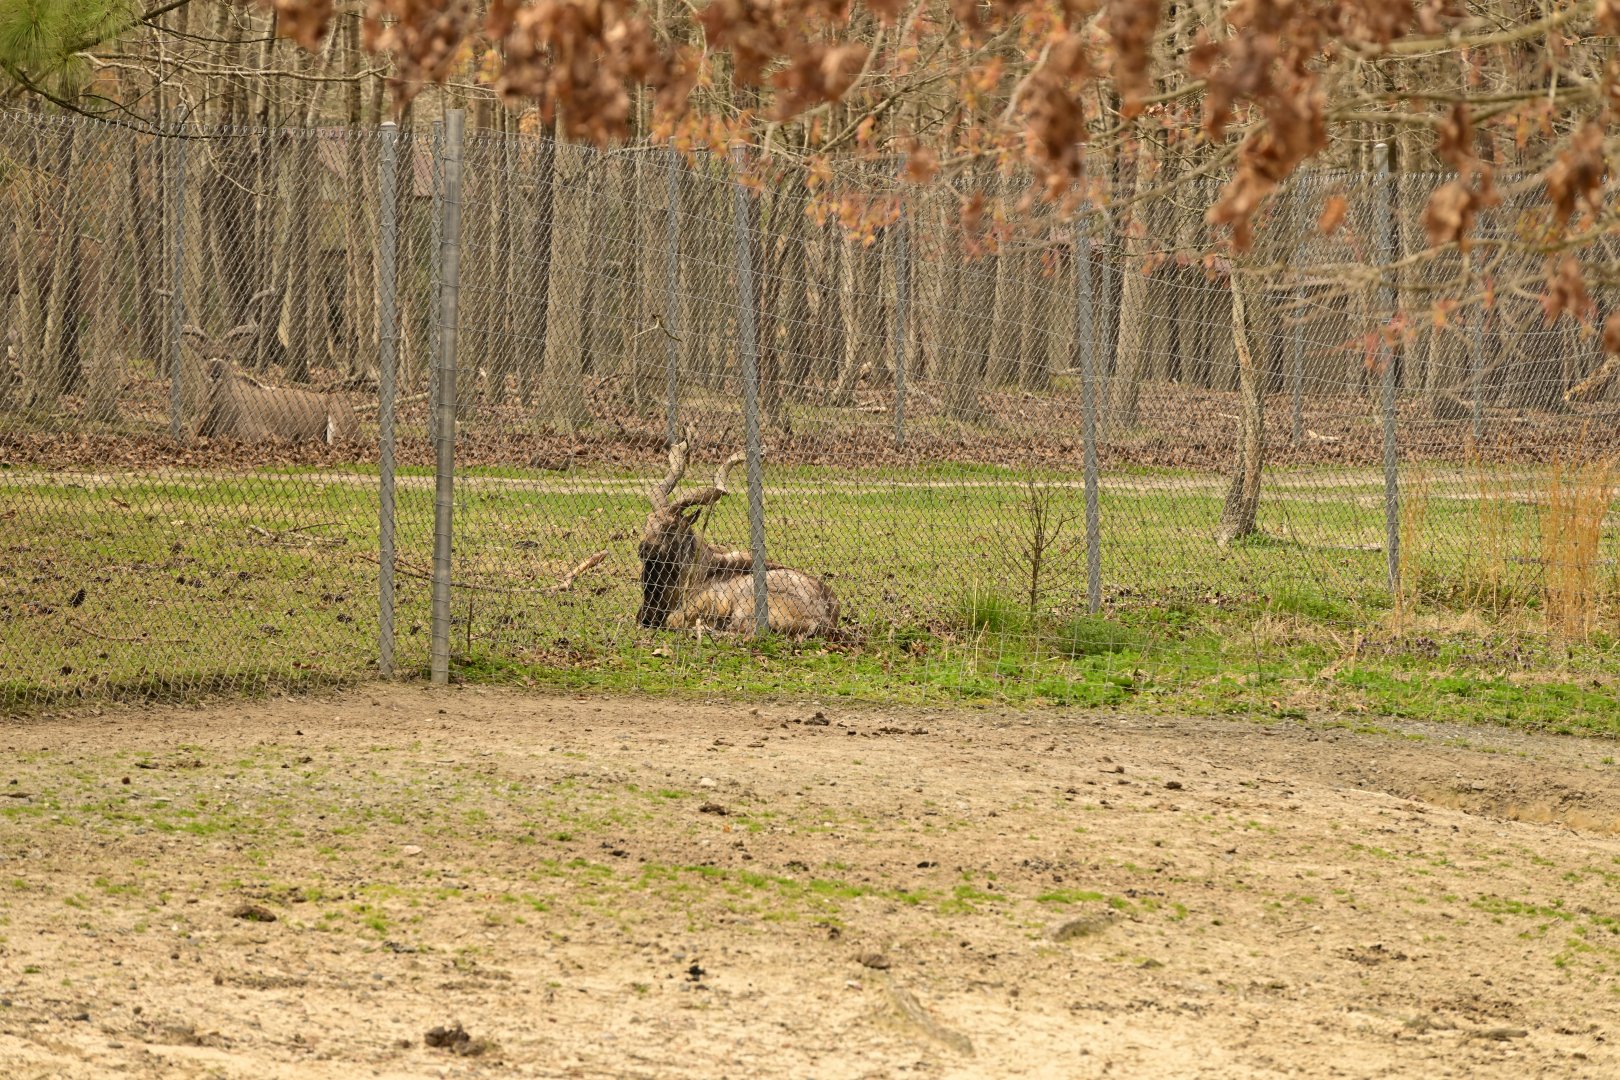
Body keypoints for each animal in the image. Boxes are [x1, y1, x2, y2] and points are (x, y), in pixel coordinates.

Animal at [636, 440, 840, 637]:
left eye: (671, 527)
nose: (643, 548)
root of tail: (824, 618)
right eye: (646, 523)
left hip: (747, 605)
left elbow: (673, 621)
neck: (698, 572)